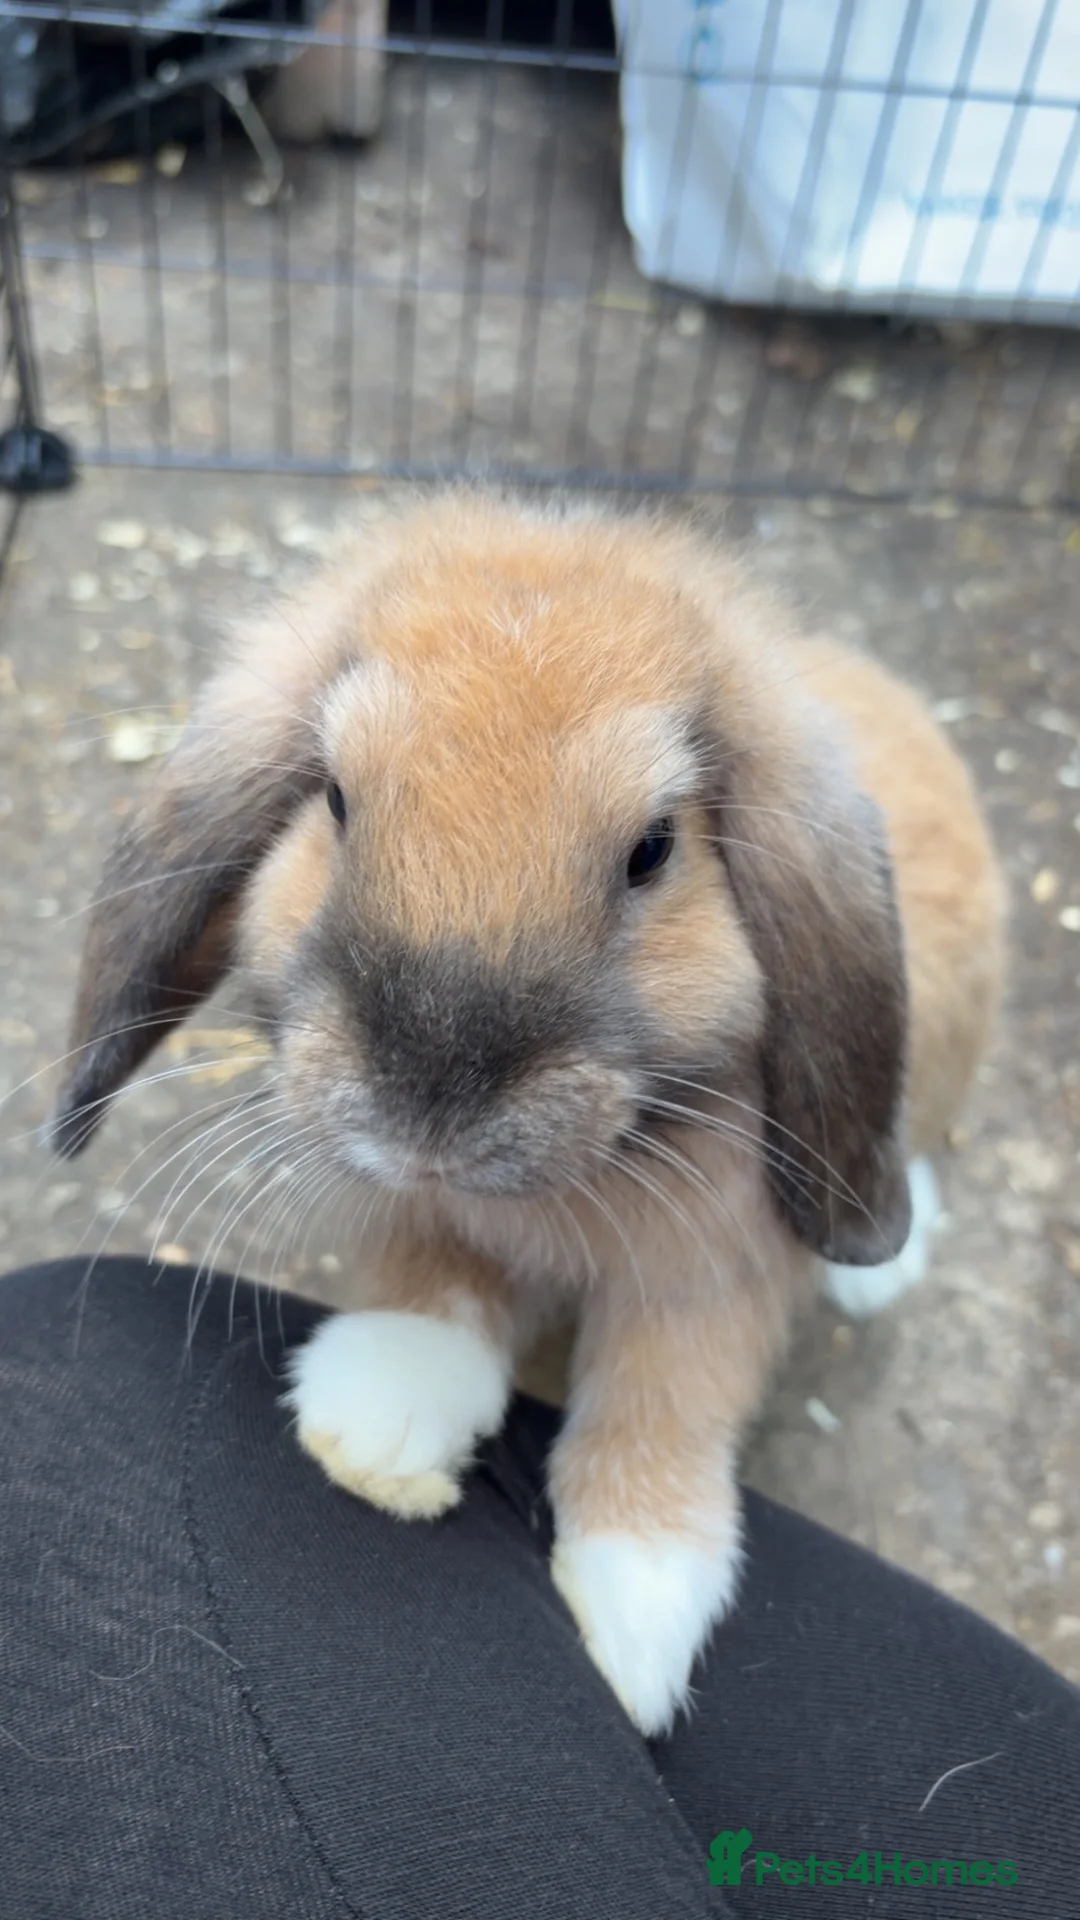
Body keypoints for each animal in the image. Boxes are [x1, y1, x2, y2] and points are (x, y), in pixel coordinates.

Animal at [51, 491, 1005, 1736]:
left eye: (654, 849)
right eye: (335, 799)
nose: (427, 1114)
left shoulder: (714, 1272)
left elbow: (665, 1395)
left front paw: (637, 1618)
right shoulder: (414, 1209)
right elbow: (433, 1281)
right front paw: (377, 1418)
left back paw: (883, 1266)